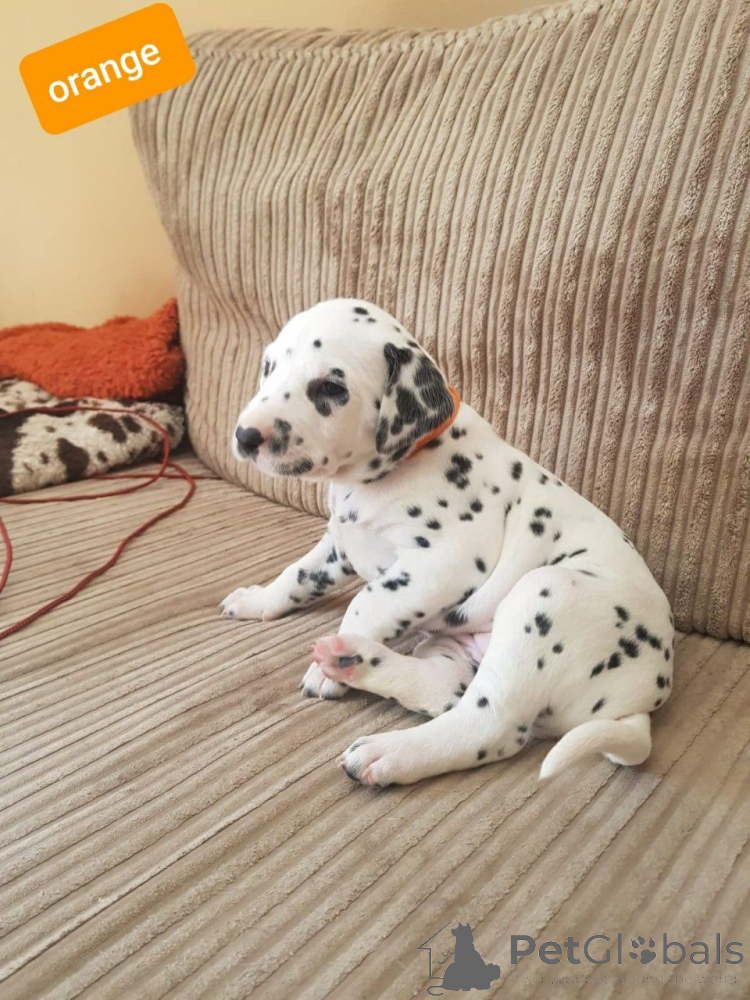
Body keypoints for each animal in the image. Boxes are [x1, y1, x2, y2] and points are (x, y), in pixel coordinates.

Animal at [221, 299, 674, 786]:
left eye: (330, 387)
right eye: (269, 367)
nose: (246, 436)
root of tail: (642, 700)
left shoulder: (439, 564)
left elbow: (365, 603)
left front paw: (327, 671)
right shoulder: (339, 547)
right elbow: (297, 576)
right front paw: (257, 600)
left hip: (544, 596)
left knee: (486, 725)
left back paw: (385, 744)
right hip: (454, 649)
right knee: (447, 692)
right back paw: (358, 663)